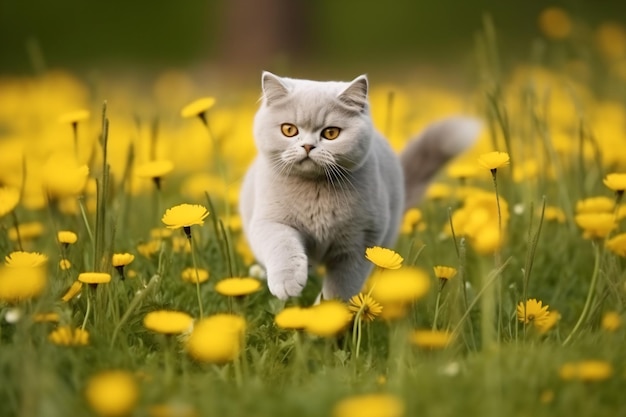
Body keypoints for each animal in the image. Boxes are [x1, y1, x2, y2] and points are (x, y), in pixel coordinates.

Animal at [239, 71, 478, 300]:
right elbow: (282, 245)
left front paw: (329, 310)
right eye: (289, 130)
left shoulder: (361, 240)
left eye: (331, 133)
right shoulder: (269, 221)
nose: (307, 146)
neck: (317, 191)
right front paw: (287, 284)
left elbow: (342, 285)